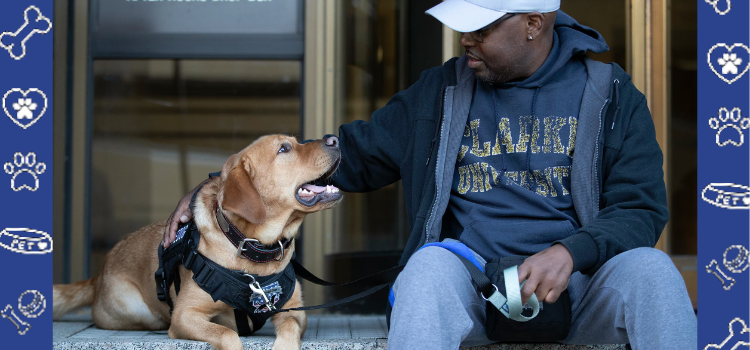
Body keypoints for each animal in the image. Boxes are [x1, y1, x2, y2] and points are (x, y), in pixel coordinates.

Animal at [52, 135, 344, 350]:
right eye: (284, 149)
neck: (251, 247)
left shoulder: (294, 311)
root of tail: (98, 276)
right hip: (137, 310)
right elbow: (226, 333)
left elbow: (290, 330)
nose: (334, 139)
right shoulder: (185, 315)